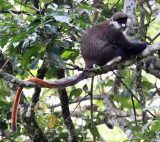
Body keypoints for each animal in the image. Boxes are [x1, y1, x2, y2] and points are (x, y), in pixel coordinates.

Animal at [11, 11, 147, 131]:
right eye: (120, 21)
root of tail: (88, 61)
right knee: (117, 48)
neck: (113, 25)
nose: (123, 25)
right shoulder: (115, 33)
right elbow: (128, 46)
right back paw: (123, 56)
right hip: (103, 54)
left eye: (124, 20)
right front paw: (145, 45)